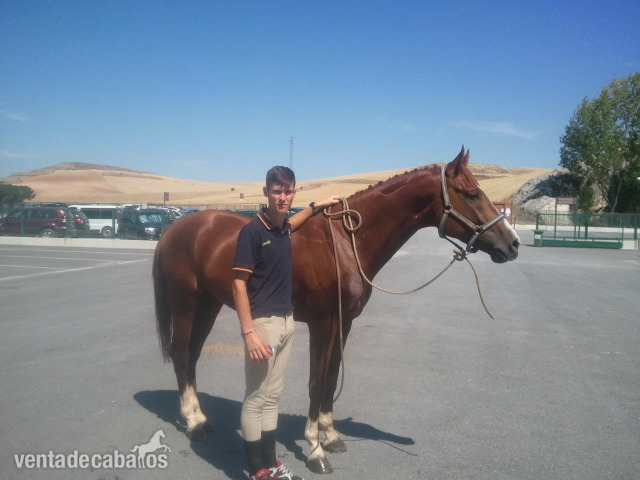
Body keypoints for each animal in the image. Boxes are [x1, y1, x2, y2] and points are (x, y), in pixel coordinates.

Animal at [152, 147, 520, 474]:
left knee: (192, 354)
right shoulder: (323, 323)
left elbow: (330, 379)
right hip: (187, 302)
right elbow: (316, 382)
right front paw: (315, 448)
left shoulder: (344, 323)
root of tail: (175, 227)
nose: (512, 244)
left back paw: (197, 415)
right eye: (472, 194)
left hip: (208, 304)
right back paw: (195, 422)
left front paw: (330, 436)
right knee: (181, 351)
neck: (345, 242)